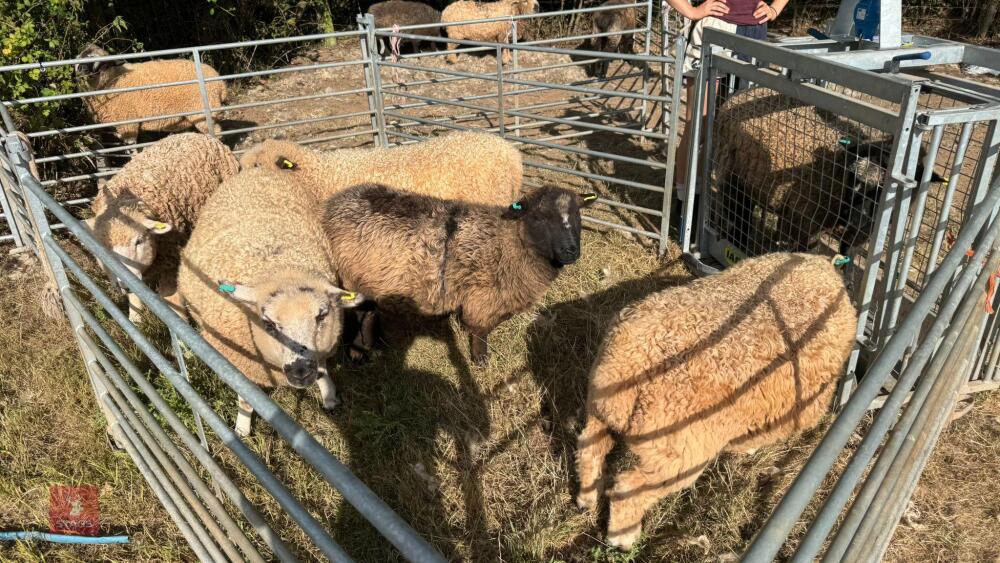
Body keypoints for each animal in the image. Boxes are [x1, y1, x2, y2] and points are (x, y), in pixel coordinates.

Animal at [74, 44, 228, 145]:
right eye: (81, 60)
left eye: (102, 65)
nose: (82, 70)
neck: (113, 79)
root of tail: (220, 84)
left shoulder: (128, 122)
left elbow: (132, 148)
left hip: (202, 113)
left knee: (217, 134)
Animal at [85, 132, 239, 322]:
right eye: (102, 248)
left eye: (139, 241)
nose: (124, 285)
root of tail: (195, 135)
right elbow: (135, 299)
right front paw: (135, 321)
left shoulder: (171, 261)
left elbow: (172, 305)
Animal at [177, 167, 365, 437]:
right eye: (268, 323)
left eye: (321, 315)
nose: (300, 370)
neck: (280, 270)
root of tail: (255, 169)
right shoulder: (243, 367)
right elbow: (247, 400)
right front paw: (242, 428)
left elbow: (322, 370)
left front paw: (329, 396)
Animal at [321, 183, 596, 363]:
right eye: (539, 217)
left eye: (578, 214)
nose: (571, 251)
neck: (508, 242)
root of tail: (334, 203)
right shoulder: (483, 298)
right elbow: (480, 331)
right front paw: (480, 360)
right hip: (353, 277)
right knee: (360, 314)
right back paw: (359, 352)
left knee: (369, 312)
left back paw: (374, 347)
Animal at [575, 252, 858, 550]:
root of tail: (626, 367)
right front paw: (748, 448)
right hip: (680, 455)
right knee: (628, 490)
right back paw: (623, 538)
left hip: (601, 414)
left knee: (589, 449)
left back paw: (586, 499)